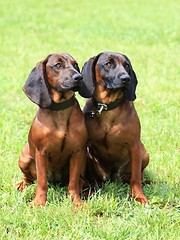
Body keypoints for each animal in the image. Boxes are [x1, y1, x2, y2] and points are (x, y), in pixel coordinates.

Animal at [17, 53, 87, 206]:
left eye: (75, 64)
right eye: (58, 65)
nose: (79, 77)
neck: (60, 109)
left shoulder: (77, 152)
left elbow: (73, 183)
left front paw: (76, 202)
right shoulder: (41, 153)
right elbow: (42, 182)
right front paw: (39, 202)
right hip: (24, 158)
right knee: (29, 178)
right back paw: (22, 185)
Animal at [79, 52, 150, 202]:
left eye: (127, 65)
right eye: (108, 64)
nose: (126, 78)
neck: (107, 107)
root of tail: (113, 176)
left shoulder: (134, 146)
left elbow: (136, 177)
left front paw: (139, 196)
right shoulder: (84, 146)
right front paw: (86, 192)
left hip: (144, 153)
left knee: (138, 175)